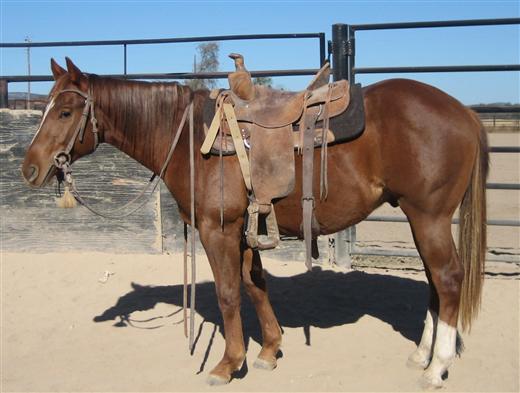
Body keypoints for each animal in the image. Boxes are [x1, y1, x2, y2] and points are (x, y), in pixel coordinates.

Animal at [22, 56, 488, 388]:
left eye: (65, 112)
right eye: (44, 108)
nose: (29, 169)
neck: (190, 137)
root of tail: (464, 112)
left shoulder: (217, 230)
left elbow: (229, 293)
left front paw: (228, 363)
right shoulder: (245, 231)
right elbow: (254, 285)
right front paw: (269, 350)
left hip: (428, 216)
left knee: (448, 278)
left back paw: (436, 368)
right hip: (418, 217)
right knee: (434, 280)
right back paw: (422, 354)